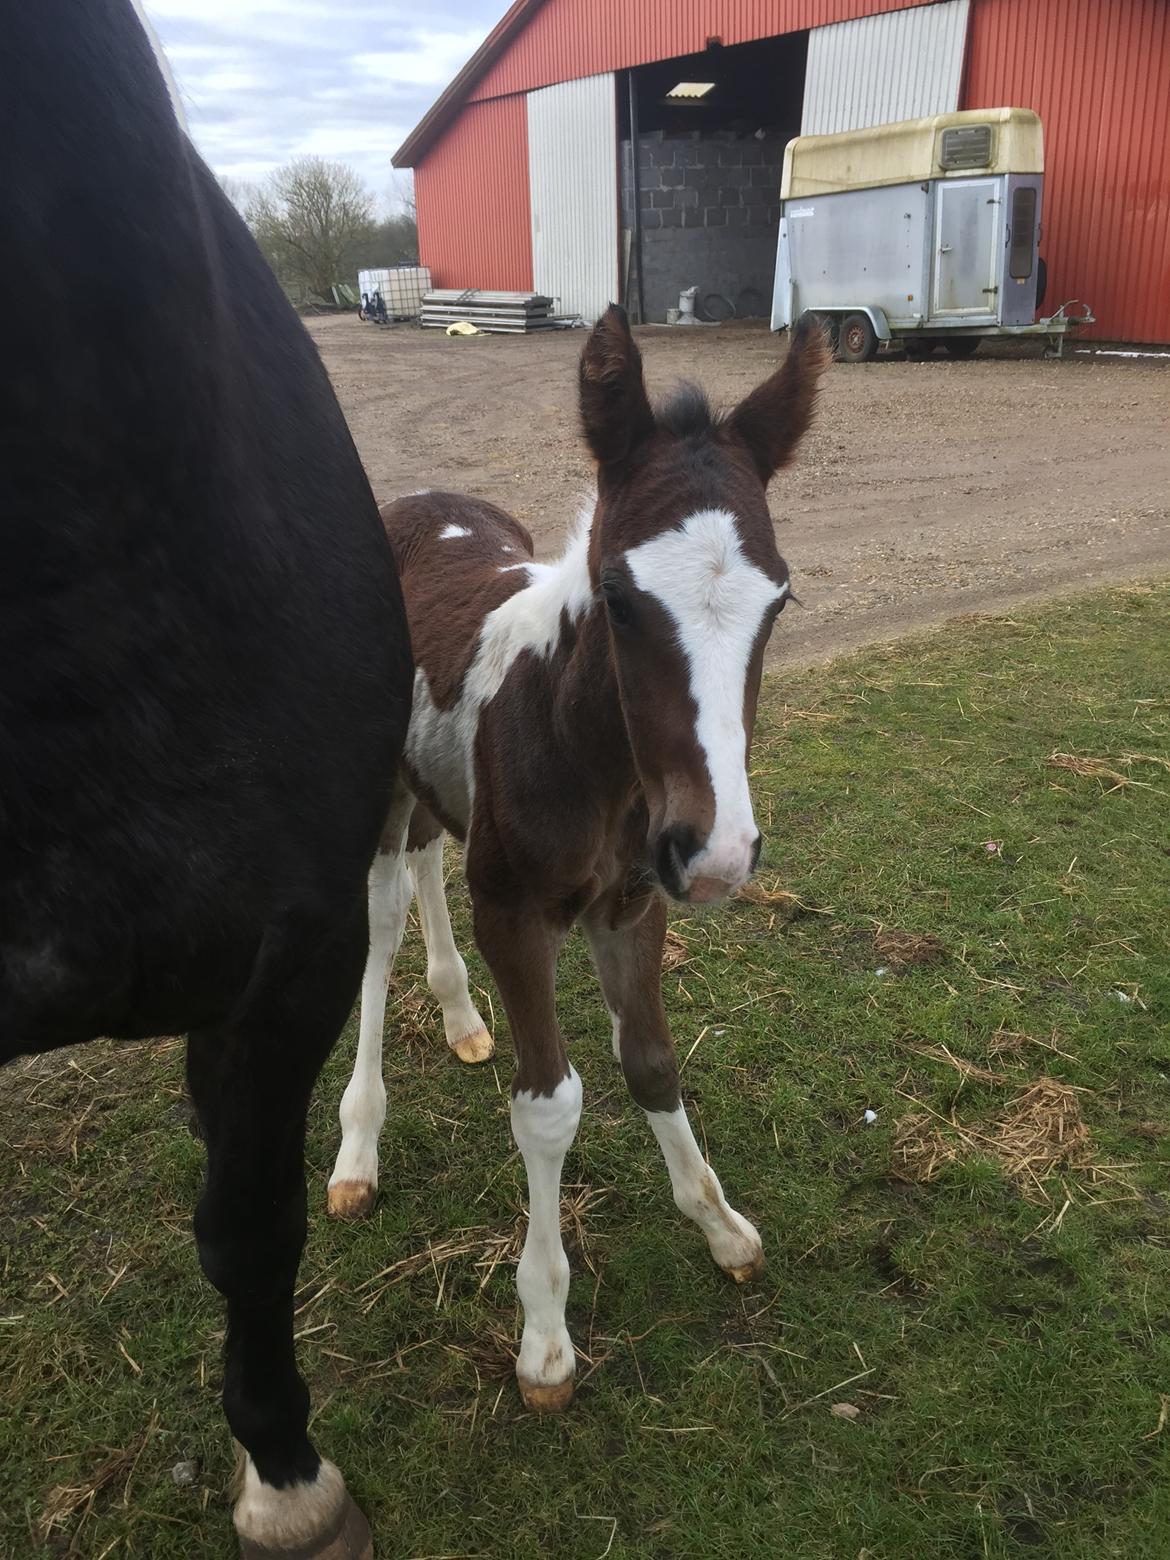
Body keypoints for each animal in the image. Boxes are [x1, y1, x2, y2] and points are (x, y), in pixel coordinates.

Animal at [326, 307, 829, 1416]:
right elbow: (550, 1106)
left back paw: (462, 1018)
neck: (588, 754)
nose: (718, 853)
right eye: (619, 596)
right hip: (382, 794)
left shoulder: (631, 906)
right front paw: (545, 1334)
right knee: (378, 928)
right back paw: (358, 1144)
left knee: (427, 871)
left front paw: (720, 1224)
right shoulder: (516, 915)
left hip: (442, 794)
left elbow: (650, 1061)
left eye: (779, 601)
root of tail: (417, 501)